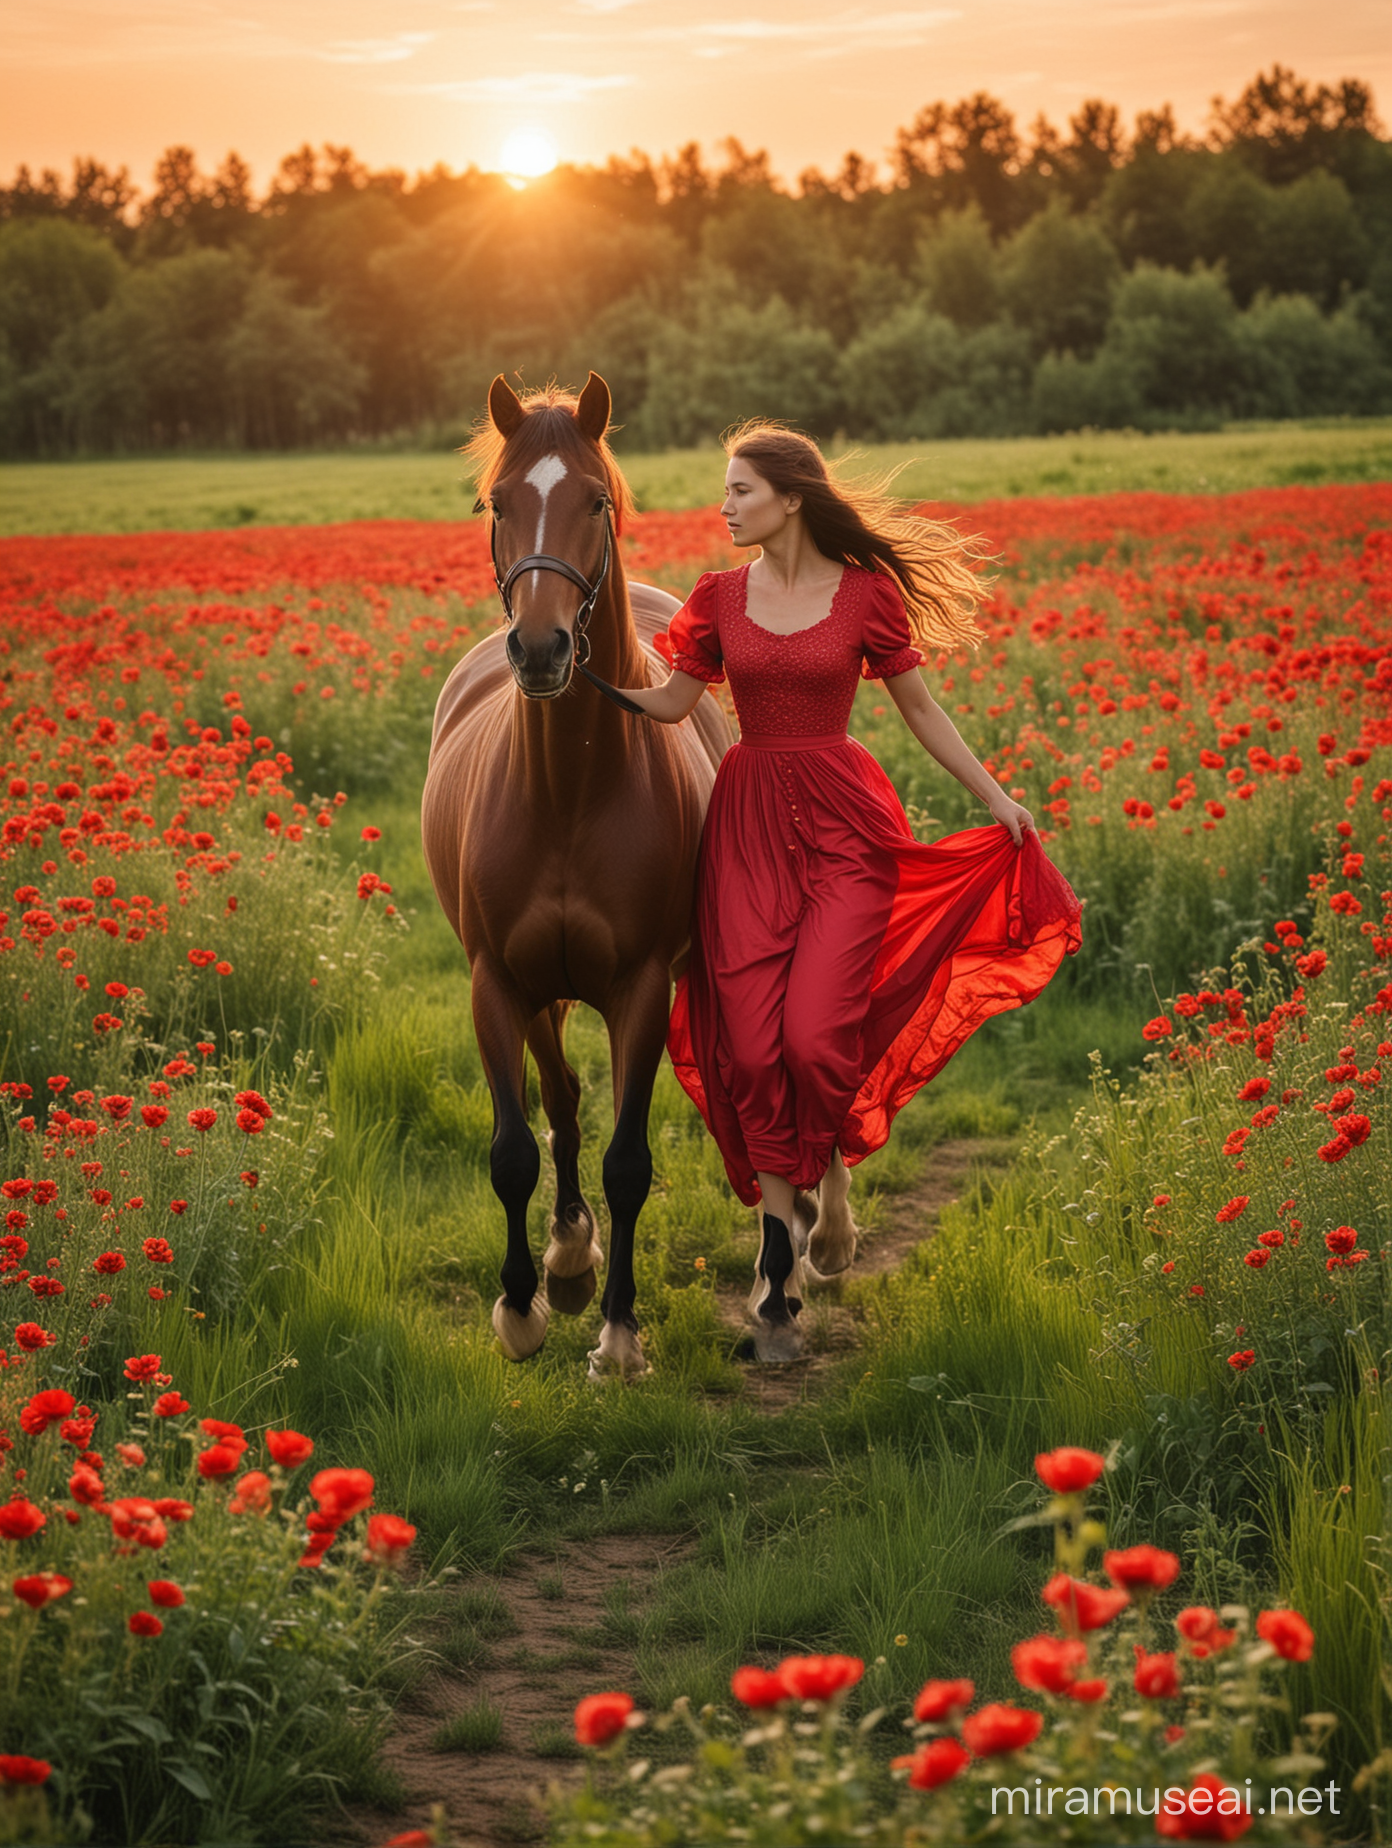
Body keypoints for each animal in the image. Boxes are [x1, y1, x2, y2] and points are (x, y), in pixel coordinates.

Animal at [421, 375, 728, 1382]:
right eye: (497, 502)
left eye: (596, 501)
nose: (543, 649)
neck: (566, 790)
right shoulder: (494, 982)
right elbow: (517, 1147)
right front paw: (522, 1306)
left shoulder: (642, 988)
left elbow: (628, 1162)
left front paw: (620, 1333)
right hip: (539, 992)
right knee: (558, 1102)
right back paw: (562, 1258)